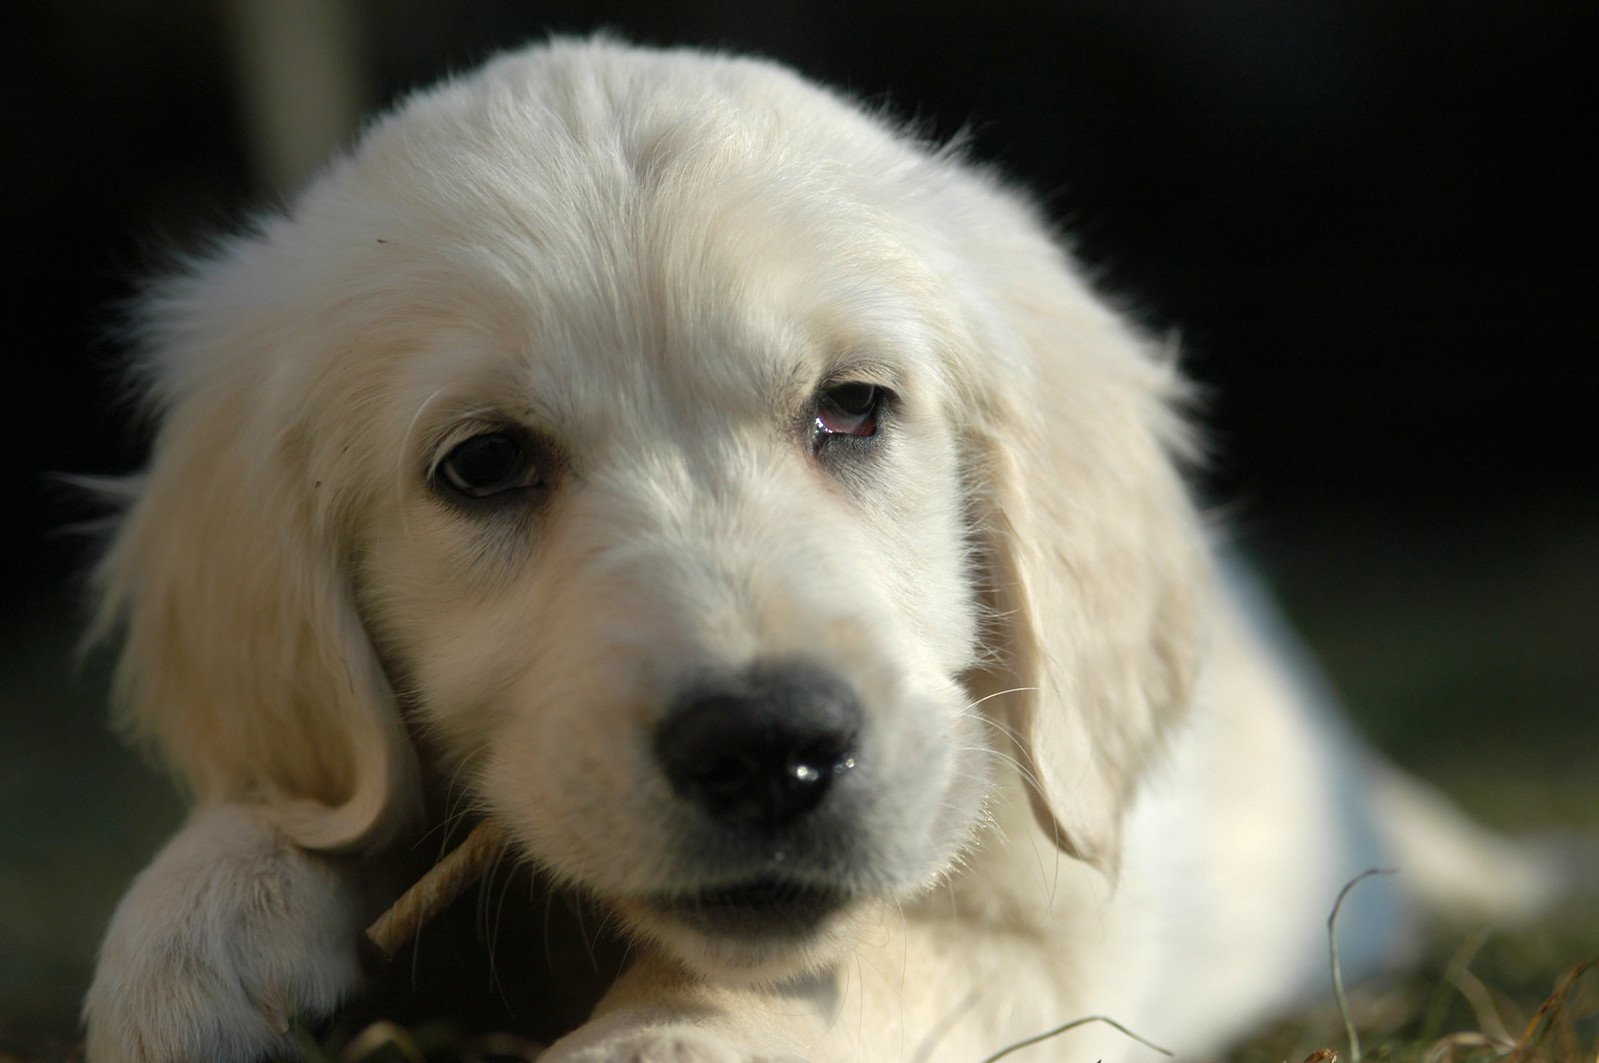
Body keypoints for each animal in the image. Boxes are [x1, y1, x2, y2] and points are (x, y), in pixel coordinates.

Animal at [77, 37, 1547, 1061]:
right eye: (483, 465)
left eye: (852, 406)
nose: (764, 748)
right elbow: (293, 804)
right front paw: (189, 937)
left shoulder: (1044, 934)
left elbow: (863, 966)